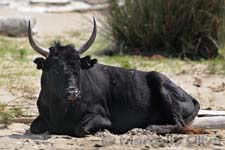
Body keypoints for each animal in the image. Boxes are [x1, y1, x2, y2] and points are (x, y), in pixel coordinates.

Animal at [28, 18, 200, 137]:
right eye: (54, 69)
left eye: (78, 67)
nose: (73, 93)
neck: (62, 109)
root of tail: (188, 95)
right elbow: (33, 127)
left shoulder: (101, 116)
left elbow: (81, 128)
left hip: (163, 88)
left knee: (178, 123)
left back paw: (152, 127)